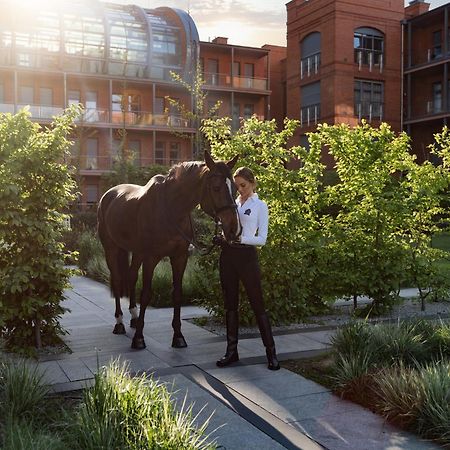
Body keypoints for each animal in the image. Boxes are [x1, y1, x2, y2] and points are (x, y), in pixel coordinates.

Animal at [97, 151, 241, 348]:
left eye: (235, 188)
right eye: (217, 187)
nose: (233, 229)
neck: (172, 209)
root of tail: (108, 195)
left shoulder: (179, 257)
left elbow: (177, 294)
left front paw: (178, 336)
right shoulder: (150, 258)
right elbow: (146, 294)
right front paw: (139, 338)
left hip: (136, 252)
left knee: (132, 276)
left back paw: (133, 318)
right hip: (112, 249)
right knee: (118, 279)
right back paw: (119, 323)